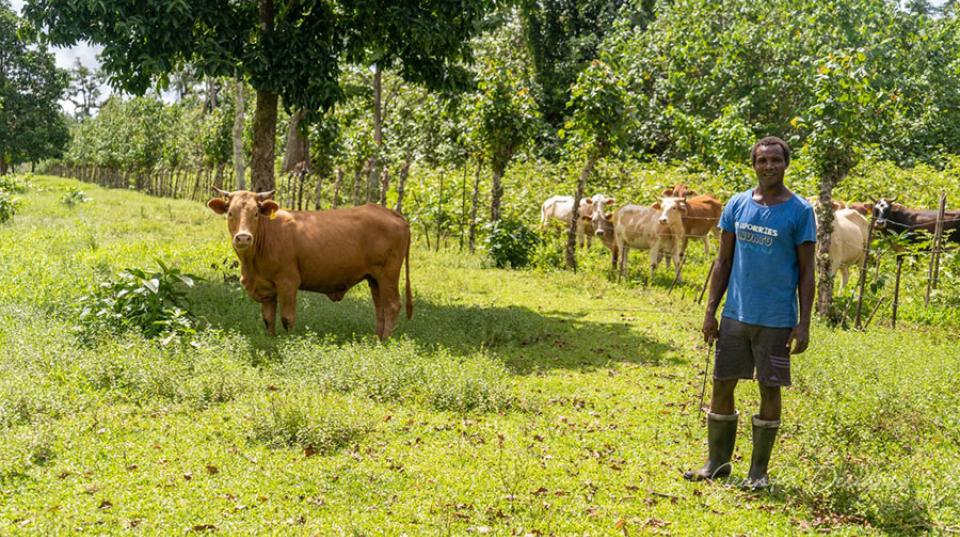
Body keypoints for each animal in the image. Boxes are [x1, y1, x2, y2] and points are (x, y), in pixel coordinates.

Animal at [208, 188, 410, 340]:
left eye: (256, 213)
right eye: (230, 213)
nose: (243, 237)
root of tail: (391, 213)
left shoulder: (288, 282)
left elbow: (287, 318)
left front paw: (289, 341)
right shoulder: (266, 287)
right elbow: (268, 318)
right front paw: (271, 339)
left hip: (388, 274)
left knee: (392, 305)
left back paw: (385, 341)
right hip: (374, 278)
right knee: (380, 307)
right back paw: (378, 339)